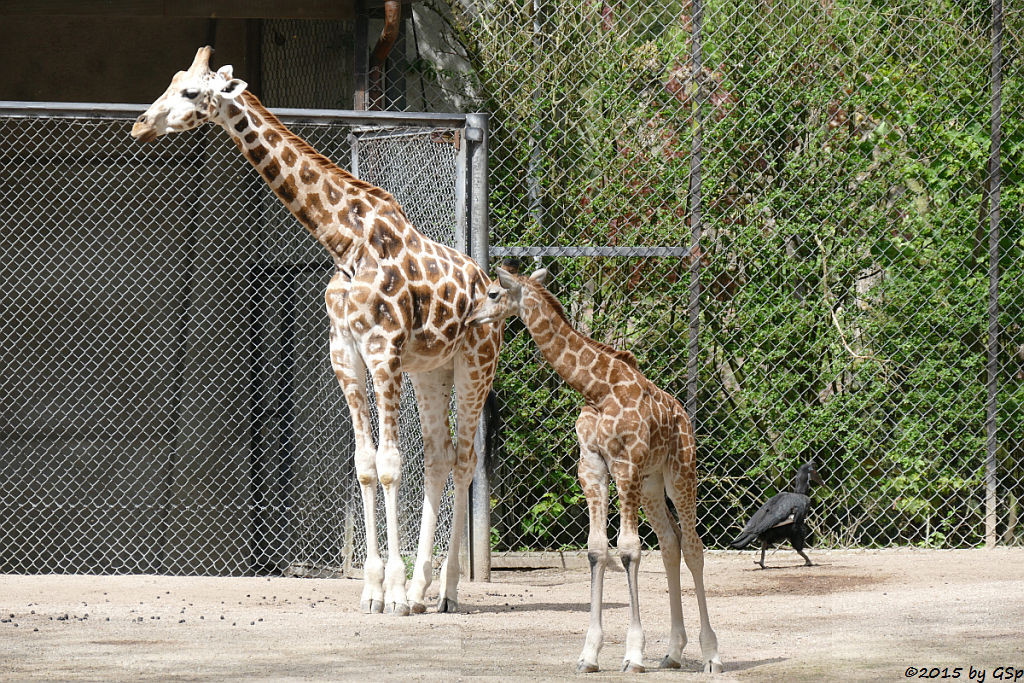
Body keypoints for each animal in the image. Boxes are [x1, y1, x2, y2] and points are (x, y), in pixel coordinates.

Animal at [131, 46, 499, 614]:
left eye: (191, 92)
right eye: (170, 83)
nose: (139, 125)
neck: (344, 241)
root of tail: (488, 281)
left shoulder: (383, 351)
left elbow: (391, 464)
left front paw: (392, 591)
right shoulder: (346, 354)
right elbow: (365, 463)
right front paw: (374, 590)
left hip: (475, 361)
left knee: (464, 458)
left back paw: (447, 591)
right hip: (430, 369)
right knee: (439, 457)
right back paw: (421, 592)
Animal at [468, 266, 724, 671]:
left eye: (493, 293)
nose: (471, 317)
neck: (597, 389)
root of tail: (683, 415)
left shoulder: (626, 463)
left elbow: (629, 549)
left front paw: (633, 653)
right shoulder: (591, 466)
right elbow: (596, 549)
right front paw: (589, 653)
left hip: (680, 472)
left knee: (694, 546)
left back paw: (712, 653)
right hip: (651, 485)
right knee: (671, 543)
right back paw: (673, 651)